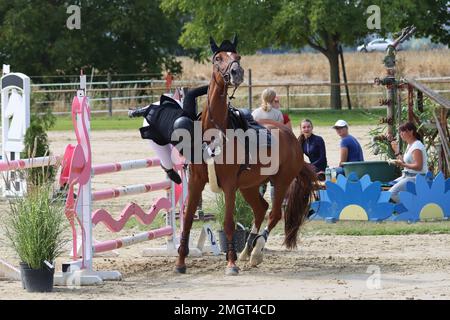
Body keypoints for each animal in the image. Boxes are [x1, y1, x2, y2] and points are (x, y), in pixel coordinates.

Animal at [176, 36, 316, 274]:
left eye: (238, 56)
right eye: (217, 58)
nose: (237, 72)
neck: (214, 133)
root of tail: (291, 136)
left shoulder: (230, 185)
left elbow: (228, 223)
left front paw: (230, 263)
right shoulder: (196, 182)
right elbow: (186, 220)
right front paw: (180, 262)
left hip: (280, 182)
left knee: (274, 214)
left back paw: (256, 252)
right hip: (250, 186)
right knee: (261, 209)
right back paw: (246, 250)